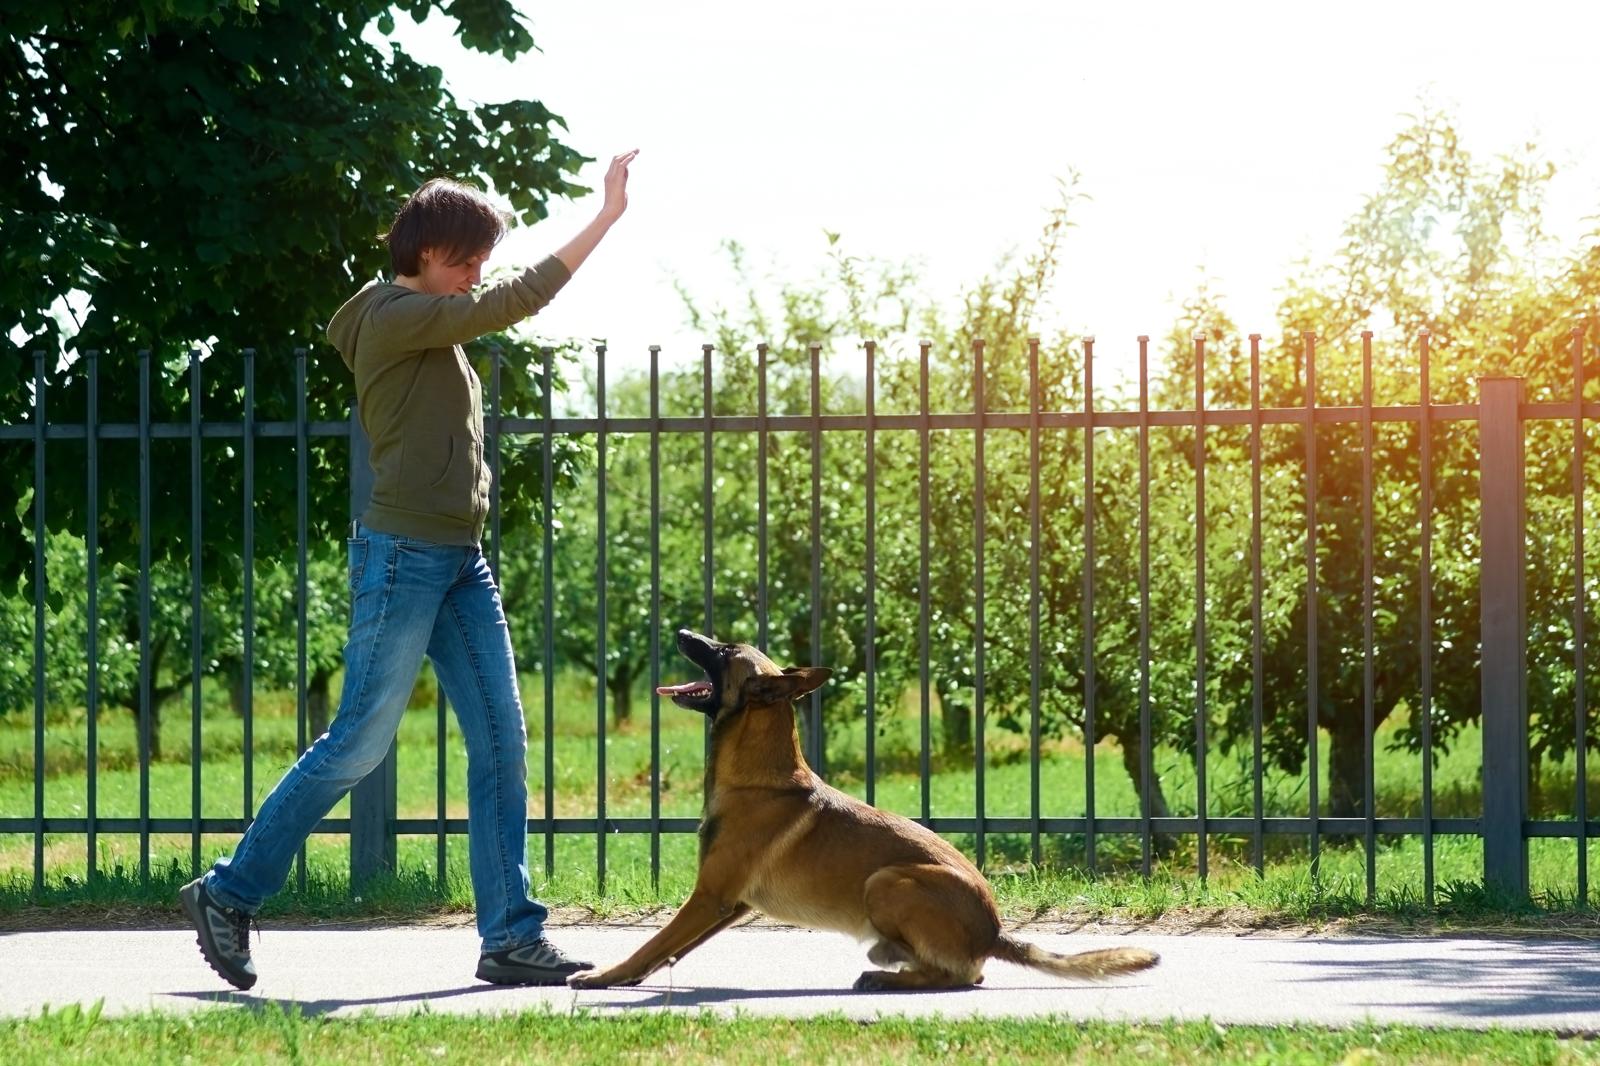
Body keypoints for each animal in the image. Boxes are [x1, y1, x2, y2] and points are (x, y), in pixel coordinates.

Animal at [569, 630, 1158, 985]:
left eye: (724, 650)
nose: (685, 633)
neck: (760, 777)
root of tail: (994, 931)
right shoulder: (730, 904)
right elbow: (669, 948)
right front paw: (632, 978)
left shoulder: (710, 896)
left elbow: (654, 940)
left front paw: (605, 978)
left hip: (888, 881)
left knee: (963, 976)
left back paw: (888, 973)